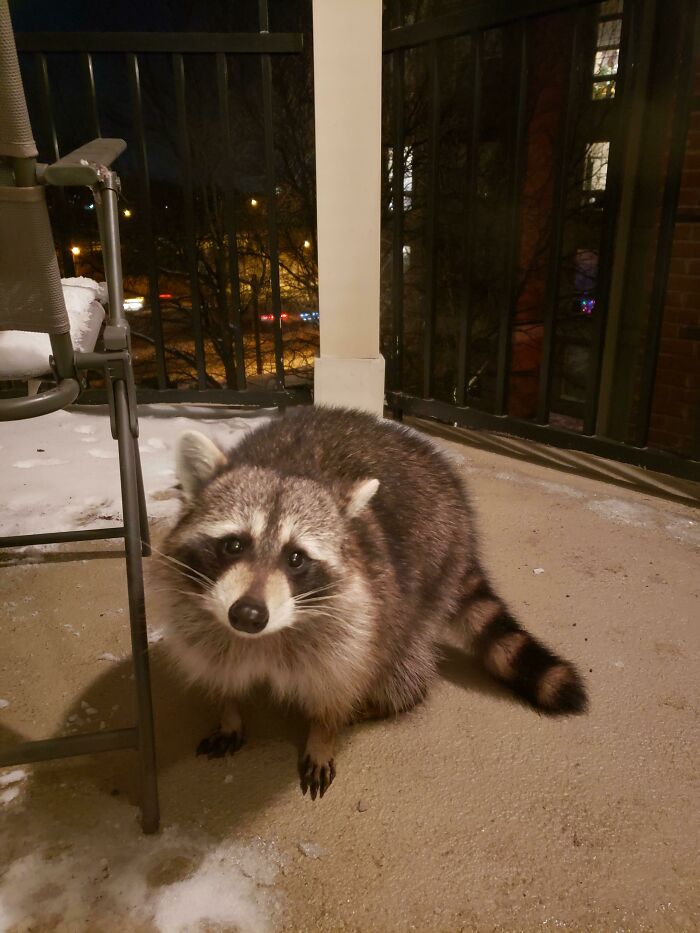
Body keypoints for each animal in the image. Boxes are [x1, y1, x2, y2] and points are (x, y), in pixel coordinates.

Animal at [160, 405, 586, 800]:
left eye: (295, 558)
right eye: (233, 545)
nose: (248, 615)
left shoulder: (360, 615)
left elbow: (341, 679)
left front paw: (324, 731)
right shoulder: (197, 608)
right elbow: (216, 661)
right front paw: (228, 709)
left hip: (431, 570)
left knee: (401, 661)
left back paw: (382, 701)